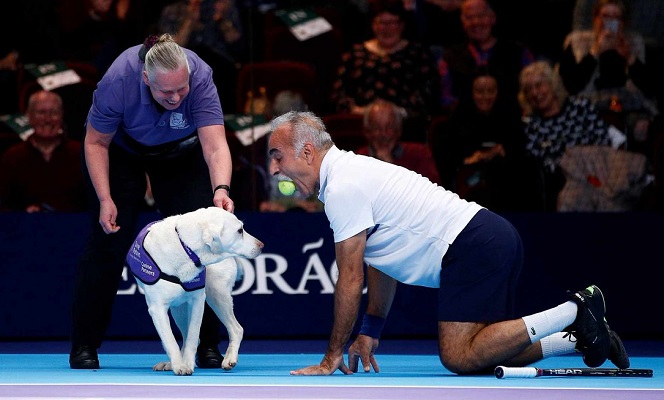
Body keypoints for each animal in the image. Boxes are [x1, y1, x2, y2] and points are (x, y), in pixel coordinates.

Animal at [126, 206, 264, 376]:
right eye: (240, 230)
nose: (261, 245)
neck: (186, 249)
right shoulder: (157, 308)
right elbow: (170, 340)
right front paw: (179, 365)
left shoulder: (197, 302)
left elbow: (192, 336)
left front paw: (186, 364)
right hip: (179, 309)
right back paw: (171, 363)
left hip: (217, 295)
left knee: (236, 329)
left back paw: (229, 359)